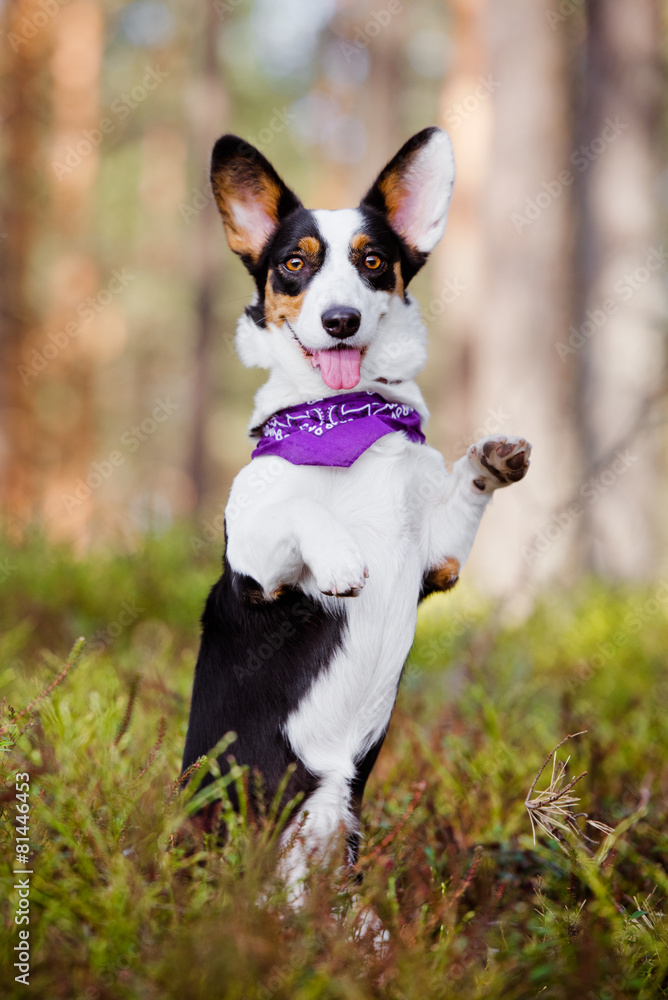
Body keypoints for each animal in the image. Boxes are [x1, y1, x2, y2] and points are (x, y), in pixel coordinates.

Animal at [183, 127, 532, 892]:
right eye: (294, 264)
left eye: (373, 261)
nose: (338, 320)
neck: (342, 416)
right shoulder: (256, 567)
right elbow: (301, 513)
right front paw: (343, 558)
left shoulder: (439, 558)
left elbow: (463, 484)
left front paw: (492, 458)